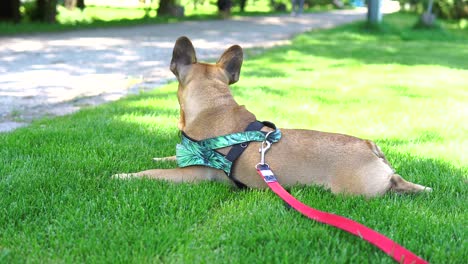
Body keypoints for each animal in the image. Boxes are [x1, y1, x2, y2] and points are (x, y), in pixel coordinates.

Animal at [113, 36, 432, 197]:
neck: (213, 104)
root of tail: (369, 146)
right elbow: (169, 157)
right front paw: (160, 155)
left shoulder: (194, 174)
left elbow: (153, 173)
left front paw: (123, 175)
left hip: (356, 190)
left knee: (391, 184)